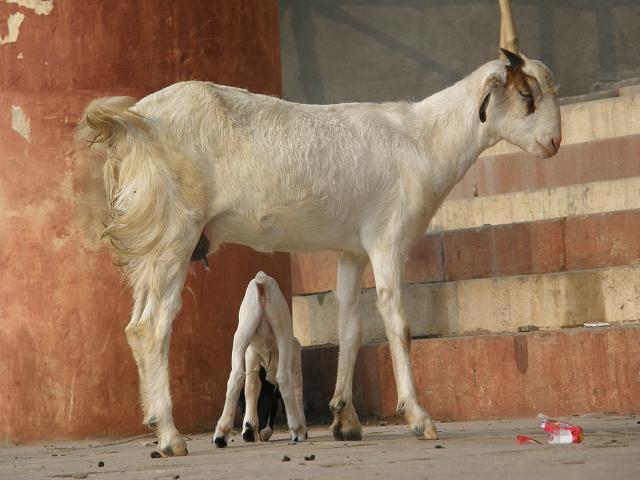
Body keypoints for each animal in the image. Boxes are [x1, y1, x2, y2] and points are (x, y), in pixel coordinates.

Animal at [214, 270, 306, 446]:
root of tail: (262, 282)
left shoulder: (251, 354)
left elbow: (251, 386)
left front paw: (249, 428)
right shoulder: (295, 351)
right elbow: (297, 387)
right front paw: (302, 429)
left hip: (243, 330)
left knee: (236, 376)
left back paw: (221, 434)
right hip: (283, 331)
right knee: (283, 377)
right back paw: (296, 429)